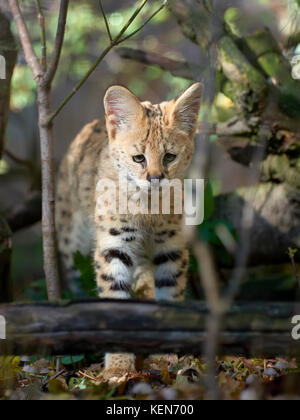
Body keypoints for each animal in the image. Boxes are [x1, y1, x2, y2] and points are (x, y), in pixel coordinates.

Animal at [55, 83, 202, 378]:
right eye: (138, 158)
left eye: (170, 157)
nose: (155, 179)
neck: (147, 206)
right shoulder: (114, 245)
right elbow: (114, 297)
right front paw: (118, 367)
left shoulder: (171, 246)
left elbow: (169, 294)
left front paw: (165, 355)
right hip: (71, 244)